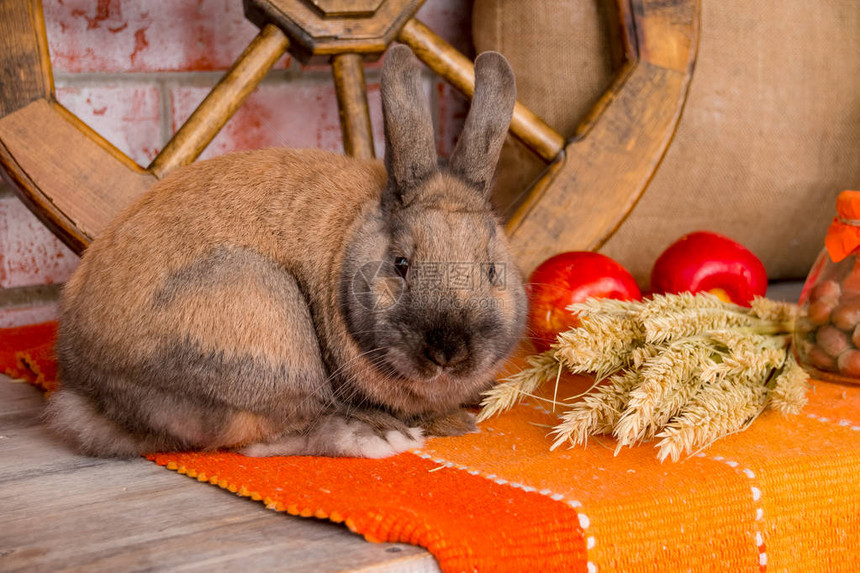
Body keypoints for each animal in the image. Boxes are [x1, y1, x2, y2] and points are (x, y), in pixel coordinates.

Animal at [43, 45, 528, 460]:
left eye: (491, 270)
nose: (448, 352)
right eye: (401, 265)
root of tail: (86, 387)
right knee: (264, 436)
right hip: (266, 320)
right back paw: (380, 437)